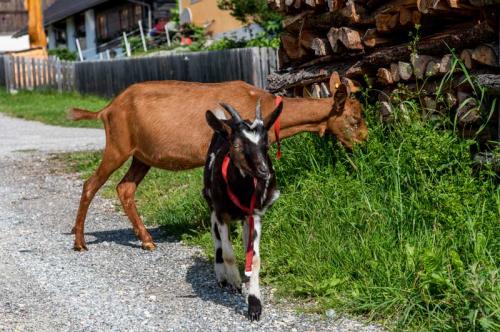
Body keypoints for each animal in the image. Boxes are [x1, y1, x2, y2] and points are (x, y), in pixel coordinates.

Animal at [69, 72, 368, 249]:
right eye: (354, 120)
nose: (365, 145)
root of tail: (108, 108)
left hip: (142, 156)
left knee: (125, 188)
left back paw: (146, 240)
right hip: (118, 145)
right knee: (91, 184)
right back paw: (80, 240)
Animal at [202, 100, 282, 320]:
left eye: (266, 144)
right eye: (237, 145)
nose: (264, 172)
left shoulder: (255, 215)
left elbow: (254, 259)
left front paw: (254, 305)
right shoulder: (221, 214)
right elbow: (228, 253)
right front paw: (234, 281)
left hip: (246, 218)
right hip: (212, 209)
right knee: (218, 243)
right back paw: (223, 277)